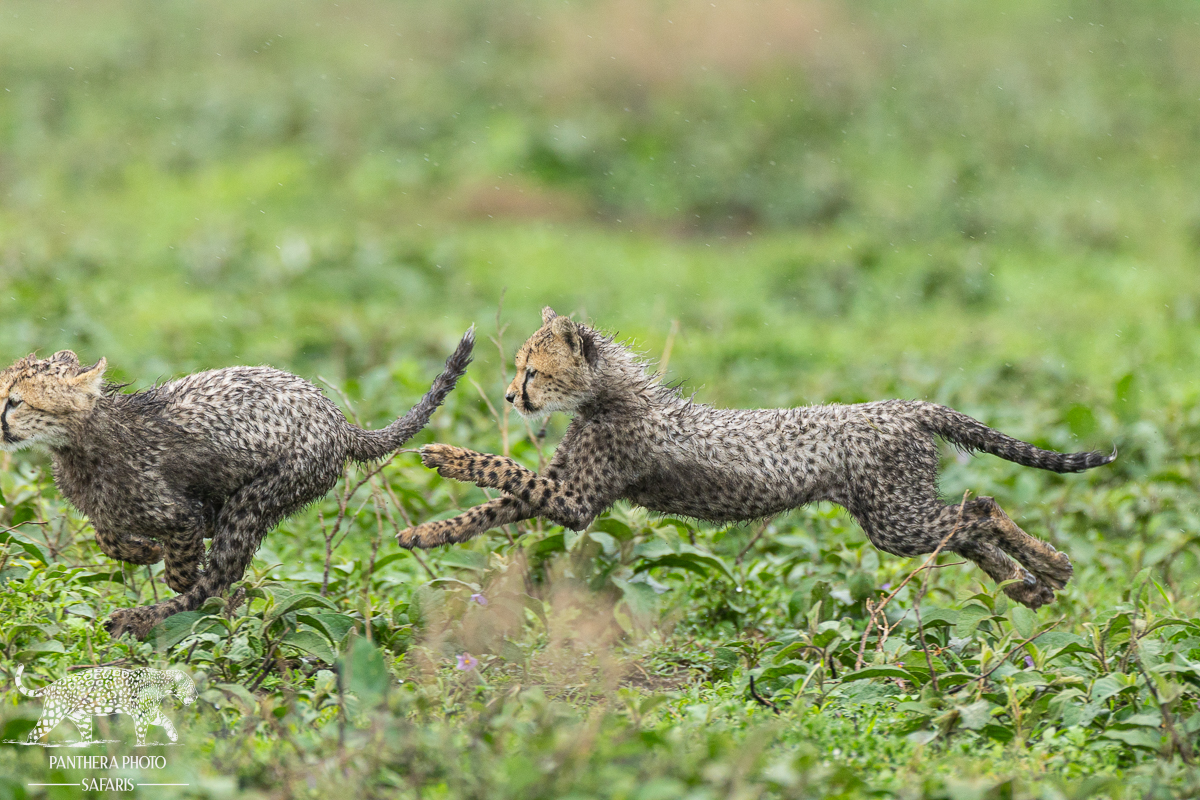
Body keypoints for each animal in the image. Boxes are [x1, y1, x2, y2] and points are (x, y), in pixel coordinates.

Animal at [0, 330, 473, 639]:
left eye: (15, 402)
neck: (81, 441)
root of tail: (338, 421)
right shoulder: (117, 512)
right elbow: (108, 537)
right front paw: (142, 551)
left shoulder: (181, 515)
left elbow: (183, 571)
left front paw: (169, 566)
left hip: (259, 498)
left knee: (220, 577)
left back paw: (139, 619)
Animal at [14, 664, 197, 745]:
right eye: (191, 686)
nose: (196, 696)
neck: (163, 683)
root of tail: (51, 685)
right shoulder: (141, 715)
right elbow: (141, 733)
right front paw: (141, 747)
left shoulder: (149, 712)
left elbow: (166, 720)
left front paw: (173, 735)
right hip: (53, 714)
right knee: (34, 733)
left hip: (82, 719)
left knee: (85, 738)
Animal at [397, 307, 1115, 609]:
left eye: (533, 370)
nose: (511, 395)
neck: (609, 396)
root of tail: (905, 405)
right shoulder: (562, 491)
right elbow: (494, 507)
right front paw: (424, 533)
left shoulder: (576, 502)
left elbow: (503, 472)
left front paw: (445, 452)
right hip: (896, 517)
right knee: (967, 528)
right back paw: (1029, 585)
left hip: (894, 519)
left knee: (981, 509)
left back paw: (1050, 566)